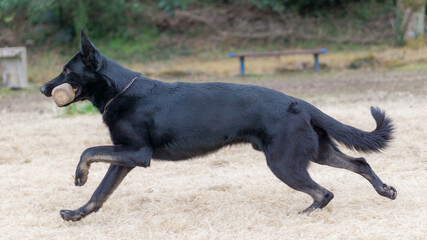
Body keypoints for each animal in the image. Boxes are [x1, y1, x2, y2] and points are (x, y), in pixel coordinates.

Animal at [41, 29, 398, 221]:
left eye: (67, 71)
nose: (44, 88)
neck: (121, 90)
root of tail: (300, 102)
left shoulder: (136, 153)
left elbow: (88, 152)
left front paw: (80, 175)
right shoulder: (124, 158)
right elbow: (100, 193)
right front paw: (77, 214)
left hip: (284, 163)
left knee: (324, 192)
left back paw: (305, 215)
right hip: (314, 152)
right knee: (360, 162)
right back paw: (385, 190)